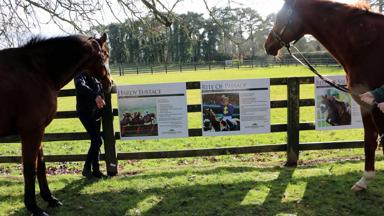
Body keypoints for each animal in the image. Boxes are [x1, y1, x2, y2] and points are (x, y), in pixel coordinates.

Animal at [0, 33, 112, 215]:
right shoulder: (31, 131)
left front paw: (50, 199)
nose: (110, 82)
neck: (39, 72)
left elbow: (41, 165)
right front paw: (34, 207)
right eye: (106, 55)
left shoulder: (39, 130)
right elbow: (30, 169)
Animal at [264, 0, 384, 192]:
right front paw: (364, 181)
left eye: (280, 16)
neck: (366, 46)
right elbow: (370, 140)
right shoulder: (365, 103)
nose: (268, 45)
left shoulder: (375, 105)